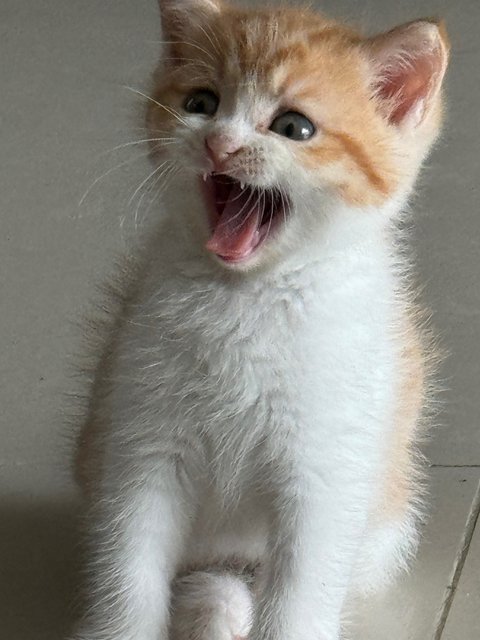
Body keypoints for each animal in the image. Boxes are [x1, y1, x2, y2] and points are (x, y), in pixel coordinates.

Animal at [71, 1, 450, 640]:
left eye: (294, 128)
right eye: (201, 102)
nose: (219, 144)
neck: (246, 297)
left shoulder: (323, 468)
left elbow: (300, 590)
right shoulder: (141, 444)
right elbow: (130, 567)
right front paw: (124, 628)